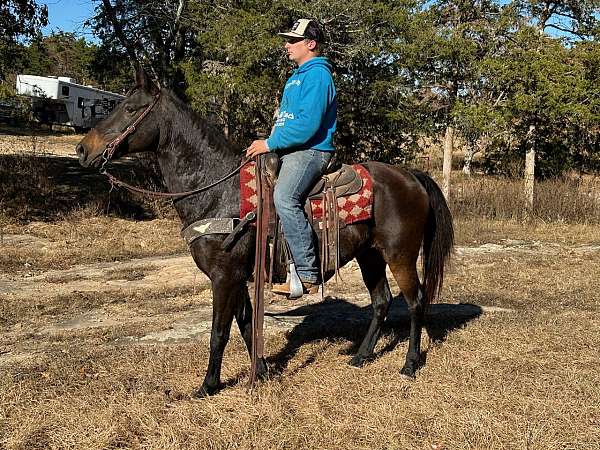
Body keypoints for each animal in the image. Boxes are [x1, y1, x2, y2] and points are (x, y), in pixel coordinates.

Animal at [77, 67, 454, 398]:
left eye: (130, 108)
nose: (83, 149)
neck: (218, 192)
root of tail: (411, 176)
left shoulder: (224, 276)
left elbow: (219, 332)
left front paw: (208, 386)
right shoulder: (240, 276)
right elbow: (246, 324)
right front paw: (262, 372)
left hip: (400, 255)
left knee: (415, 301)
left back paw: (409, 365)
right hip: (370, 255)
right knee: (381, 301)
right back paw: (360, 357)